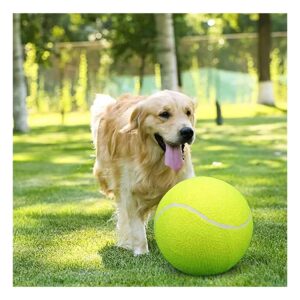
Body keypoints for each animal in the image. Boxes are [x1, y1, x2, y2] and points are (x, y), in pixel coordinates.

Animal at [90, 89, 196, 255]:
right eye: (164, 114)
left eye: (188, 112)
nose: (188, 132)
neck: (155, 163)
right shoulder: (130, 192)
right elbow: (136, 226)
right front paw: (141, 252)